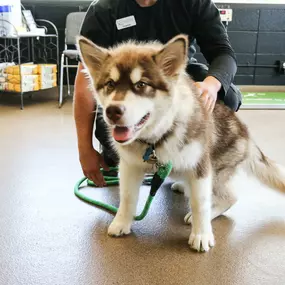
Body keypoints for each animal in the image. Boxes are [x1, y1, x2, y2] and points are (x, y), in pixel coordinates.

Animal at [76, 35, 284, 251]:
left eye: (141, 84)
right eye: (110, 83)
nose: (112, 111)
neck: (156, 139)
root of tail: (247, 136)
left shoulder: (201, 165)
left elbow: (200, 203)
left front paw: (201, 234)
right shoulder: (129, 165)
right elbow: (126, 197)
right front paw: (121, 222)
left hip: (218, 169)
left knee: (229, 197)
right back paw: (182, 185)